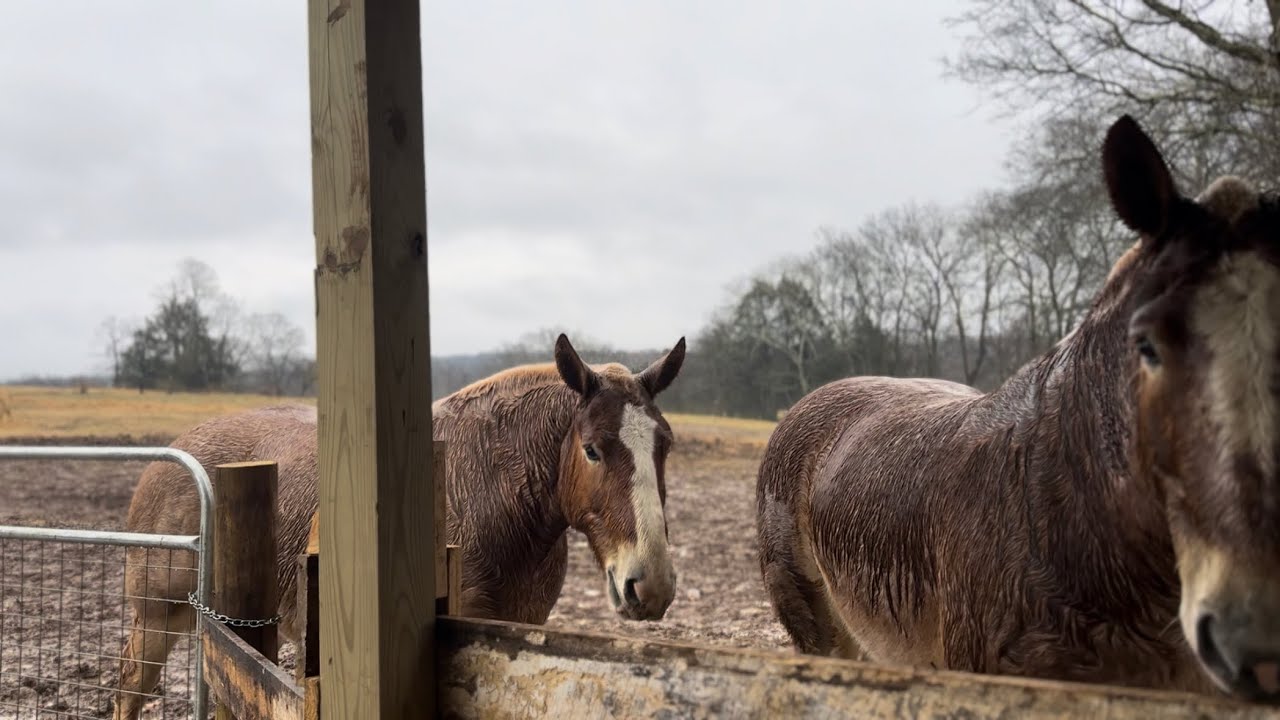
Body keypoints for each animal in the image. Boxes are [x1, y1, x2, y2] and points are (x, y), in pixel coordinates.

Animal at [111, 333, 686, 719]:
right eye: (591, 449)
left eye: (665, 445)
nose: (650, 584)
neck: (488, 491)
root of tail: (174, 454)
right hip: (156, 619)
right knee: (131, 688)